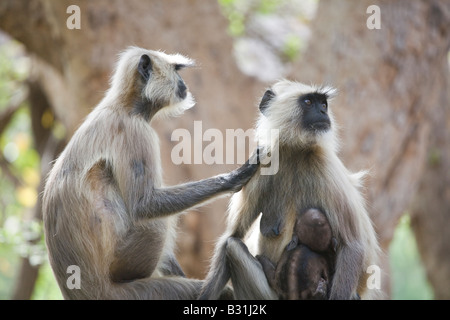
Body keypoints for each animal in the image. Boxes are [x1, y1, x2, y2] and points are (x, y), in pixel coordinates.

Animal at [44, 47, 260, 300]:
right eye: (176, 69)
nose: (183, 84)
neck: (125, 106)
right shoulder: (135, 131)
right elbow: (143, 204)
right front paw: (234, 177)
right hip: (131, 287)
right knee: (157, 224)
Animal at [200, 79, 380, 300]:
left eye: (323, 104)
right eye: (309, 102)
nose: (323, 112)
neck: (297, 150)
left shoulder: (325, 166)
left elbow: (352, 246)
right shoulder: (263, 162)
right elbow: (234, 235)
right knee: (233, 246)